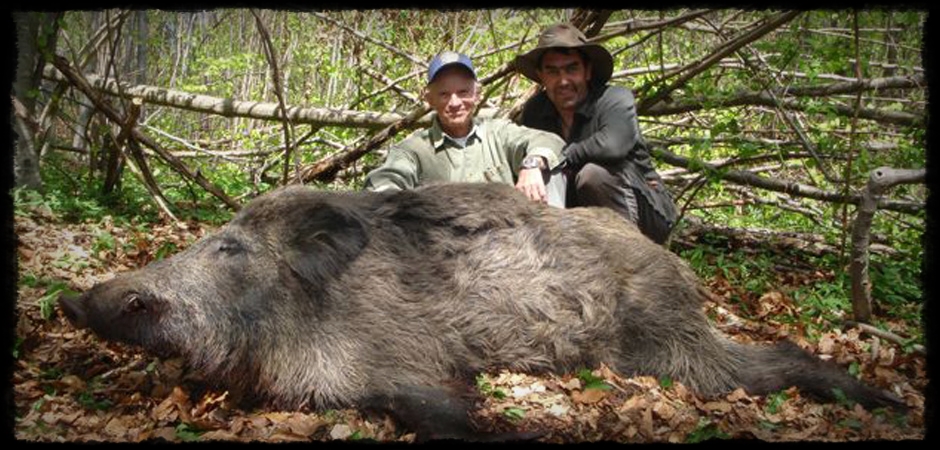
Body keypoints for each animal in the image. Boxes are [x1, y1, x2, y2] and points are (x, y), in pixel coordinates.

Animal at [58, 182, 906, 441]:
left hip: (676, 349)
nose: (73, 297)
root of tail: (677, 268)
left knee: (773, 363)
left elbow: (441, 410)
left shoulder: (399, 364)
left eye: (231, 249)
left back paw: (889, 402)